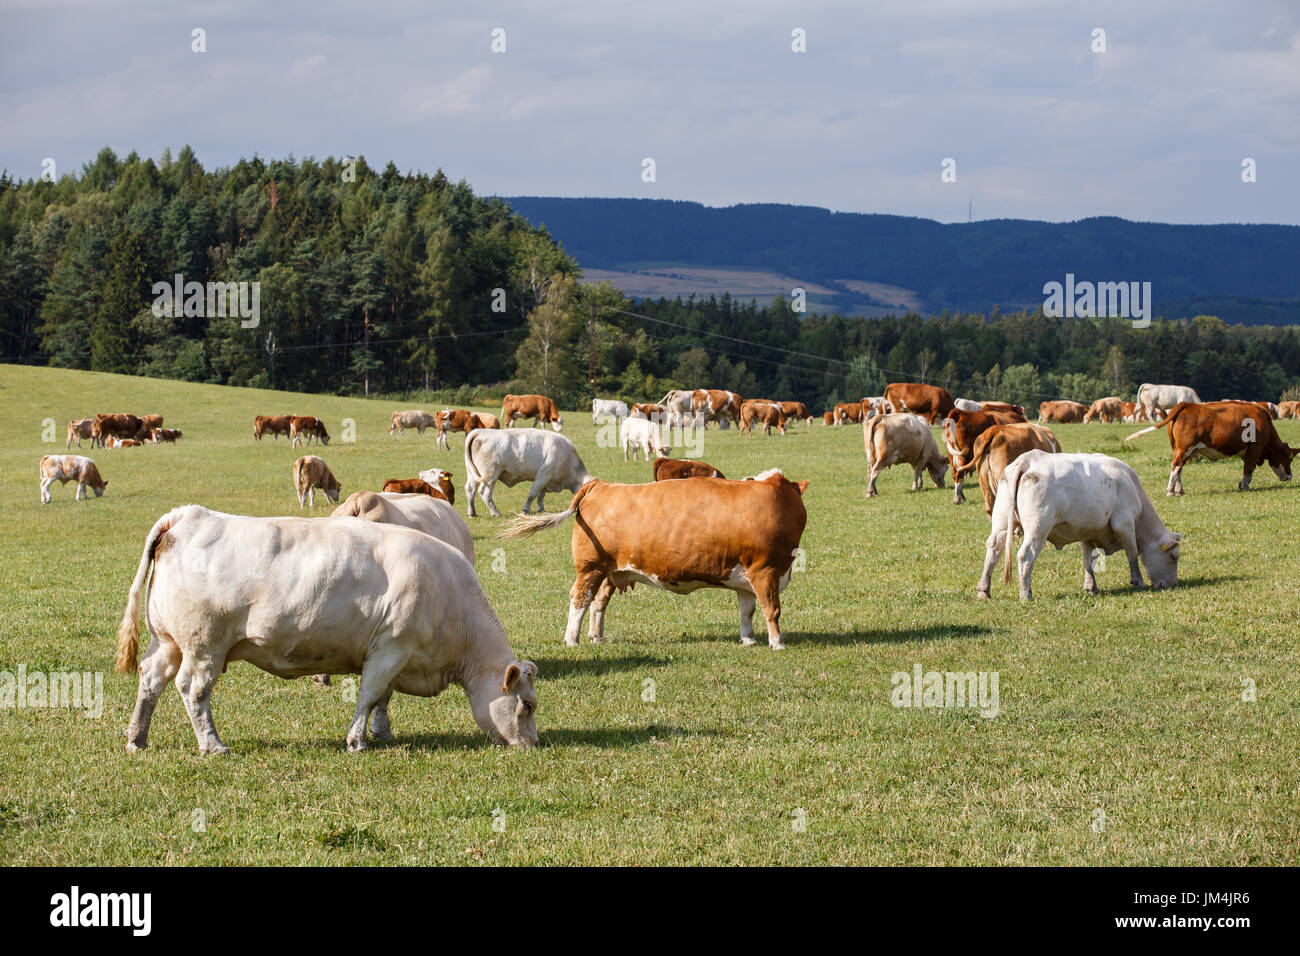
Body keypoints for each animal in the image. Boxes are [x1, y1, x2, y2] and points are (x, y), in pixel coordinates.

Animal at [113, 505, 538, 753]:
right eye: (528, 706)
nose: (532, 745)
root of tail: (188, 515)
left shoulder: (390, 654)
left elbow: (383, 698)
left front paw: (382, 734)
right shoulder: (392, 647)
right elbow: (370, 695)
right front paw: (357, 741)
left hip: (168, 641)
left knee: (151, 679)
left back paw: (137, 738)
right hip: (204, 645)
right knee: (193, 690)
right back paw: (213, 745)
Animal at [463, 428, 594, 517]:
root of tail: (481, 431)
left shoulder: (545, 480)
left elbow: (541, 495)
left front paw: (541, 509)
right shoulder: (543, 475)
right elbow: (533, 494)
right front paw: (525, 510)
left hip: (472, 474)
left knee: (470, 490)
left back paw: (472, 512)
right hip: (491, 475)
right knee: (485, 493)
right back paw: (495, 512)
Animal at [501, 469, 808, 650]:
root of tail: (600, 485)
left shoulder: (746, 576)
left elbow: (748, 611)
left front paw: (748, 640)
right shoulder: (766, 570)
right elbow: (772, 609)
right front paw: (777, 643)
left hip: (611, 570)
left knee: (598, 603)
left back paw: (596, 636)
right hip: (590, 567)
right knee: (580, 599)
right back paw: (572, 639)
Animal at [976, 451, 1181, 601]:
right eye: (1173, 557)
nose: (1173, 584)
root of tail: (1028, 460)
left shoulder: (1087, 532)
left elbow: (1088, 560)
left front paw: (1090, 586)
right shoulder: (1124, 524)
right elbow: (1132, 554)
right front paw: (1137, 581)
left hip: (1001, 522)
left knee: (993, 549)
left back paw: (983, 590)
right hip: (1038, 528)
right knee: (1025, 555)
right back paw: (1026, 594)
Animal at [1125, 400, 1299, 495]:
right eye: (1289, 458)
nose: (1290, 476)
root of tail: (1187, 404)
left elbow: (1249, 469)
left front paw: (1243, 485)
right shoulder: (1254, 448)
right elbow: (1248, 469)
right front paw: (1245, 487)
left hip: (1180, 450)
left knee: (1179, 469)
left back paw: (1179, 491)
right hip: (1184, 449)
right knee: (1175, 467)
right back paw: (1170, 490)